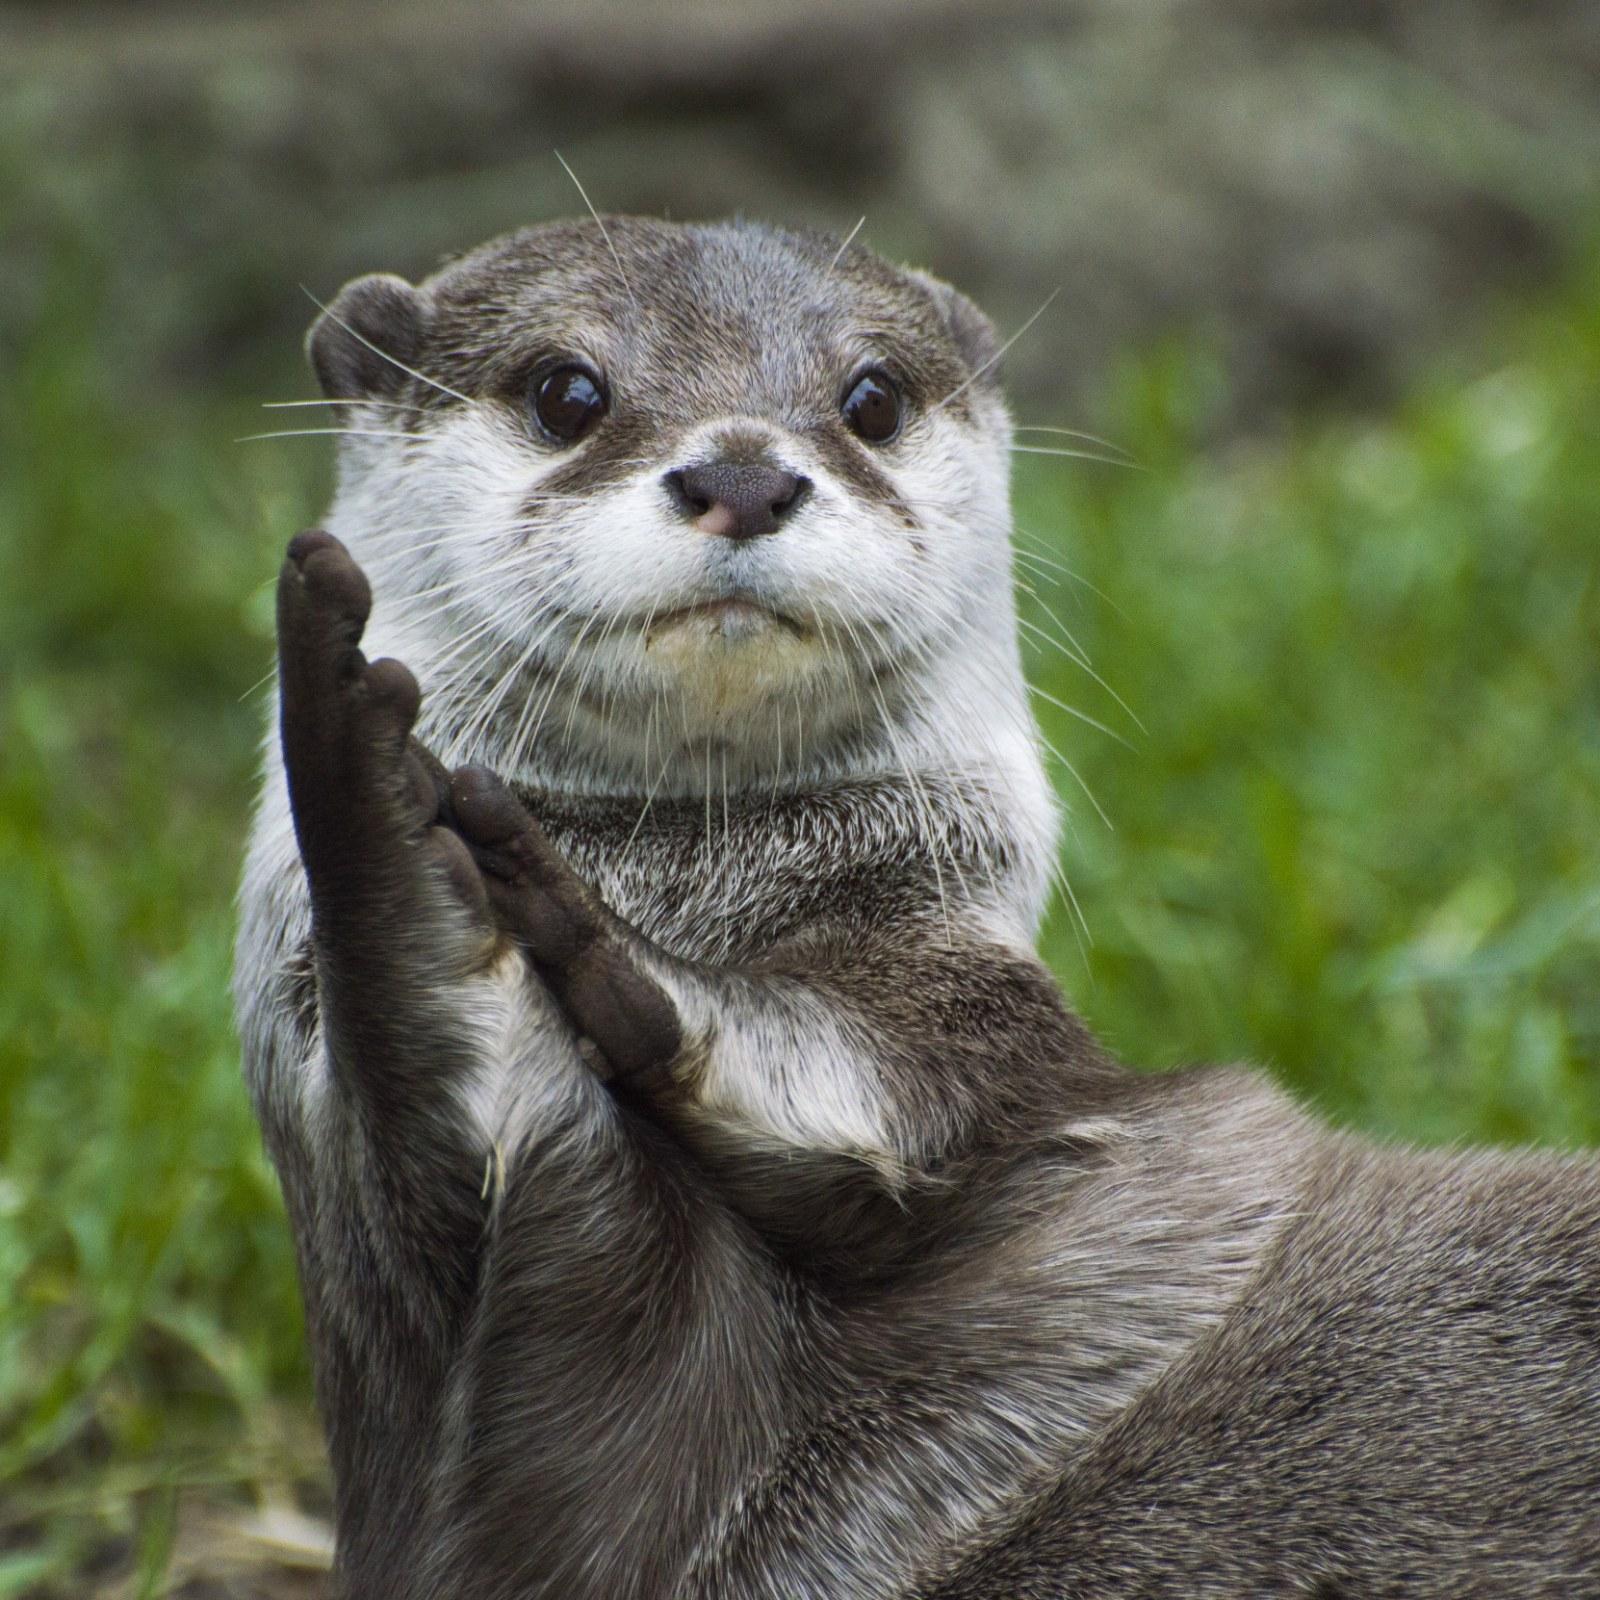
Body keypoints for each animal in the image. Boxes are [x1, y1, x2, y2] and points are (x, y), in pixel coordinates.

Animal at [235, 217, 1600, 1599]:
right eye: (567, 392)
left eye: (871, 398)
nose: (743, 471)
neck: (700, 883)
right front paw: (371, 775)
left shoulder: (981, 1026)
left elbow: (888, 1081)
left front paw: (578, 931)